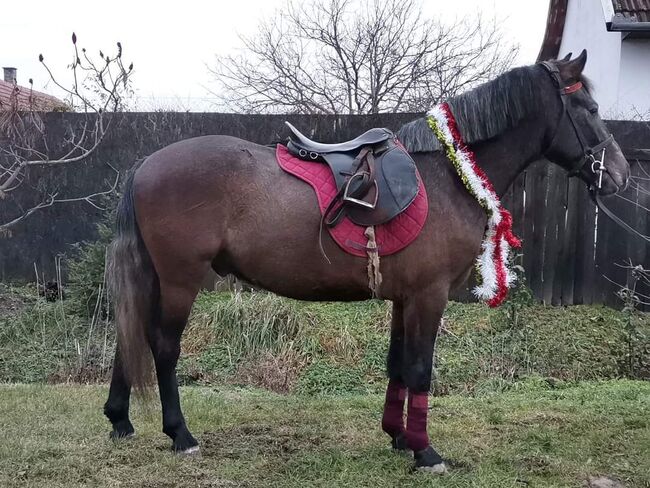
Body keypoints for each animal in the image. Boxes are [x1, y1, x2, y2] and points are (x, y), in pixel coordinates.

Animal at [102, 51, 628, 474]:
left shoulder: (405, 298)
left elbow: (397, 364)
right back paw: (180, 434)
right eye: (589, 110)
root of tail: (146, 166)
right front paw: (425, 452)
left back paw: (119, 419)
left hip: (156, 278)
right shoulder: (429, 296)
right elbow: (420, 369)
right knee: (163, 345)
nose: (620, 175)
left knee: (130, 336)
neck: (449, 176)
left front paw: (398, 436)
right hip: (180, 279)